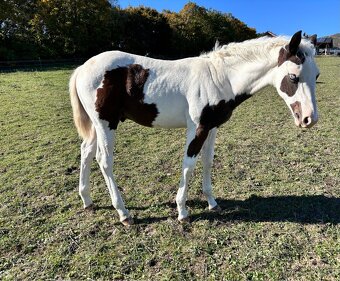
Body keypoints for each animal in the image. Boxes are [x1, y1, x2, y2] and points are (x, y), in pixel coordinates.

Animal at [69, 30, 318, 224]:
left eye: (316, 75)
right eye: (293, 77)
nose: (309, 119)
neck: (220, 78)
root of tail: (82, 68)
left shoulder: (212, 127)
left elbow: (207, 161)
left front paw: (212, 202)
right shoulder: (197, 128)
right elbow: (189, 165)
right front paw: (182, 211)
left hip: (96, 126)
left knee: (86, 152)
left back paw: (87, 201)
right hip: (106, 124)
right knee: (104, 161)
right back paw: (123, 213)